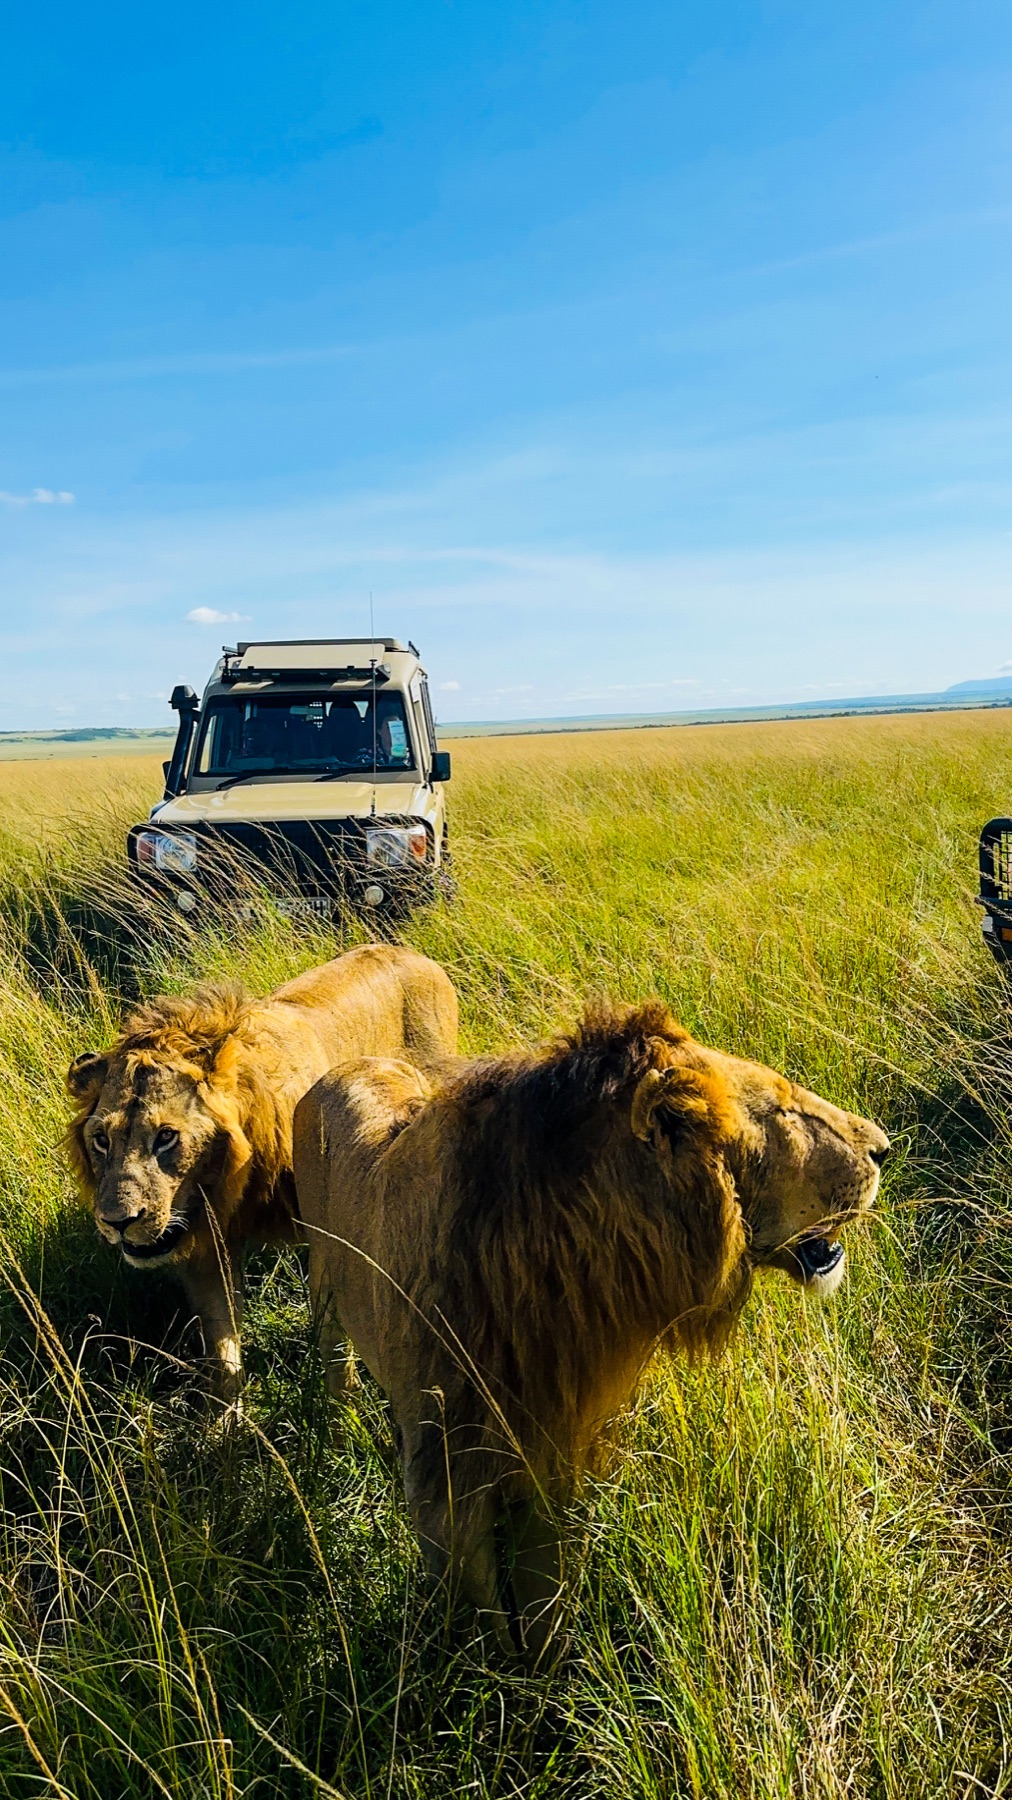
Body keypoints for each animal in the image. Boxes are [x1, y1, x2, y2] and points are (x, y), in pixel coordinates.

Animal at [66, 944, 458, 1399]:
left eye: (166, 1136)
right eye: (101, 1140)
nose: (117, 1222)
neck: (228, 1184)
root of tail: (403, 949)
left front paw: (343, 1405)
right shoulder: (207, 1248)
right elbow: (223, 1346)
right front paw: (226, 1416)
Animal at [292, 999, 889, 1660]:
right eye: (782, 1108)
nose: (885, 1149)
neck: (558, 1280)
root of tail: (338, 1070)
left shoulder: (556, 1462)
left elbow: (544, 1602)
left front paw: (545, 1674)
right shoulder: (444, 1493)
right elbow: (481, 1622)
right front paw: (494, 1680)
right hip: (323, 1287)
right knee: (332, 1356)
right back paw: (340, 1422)